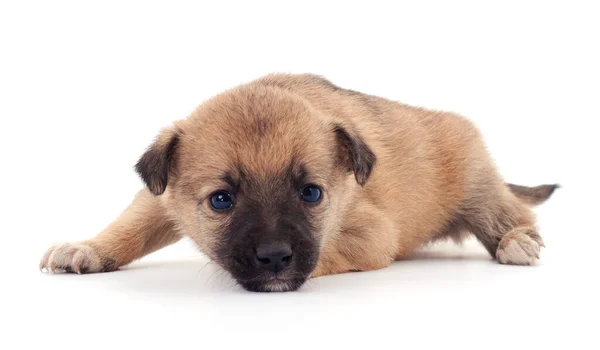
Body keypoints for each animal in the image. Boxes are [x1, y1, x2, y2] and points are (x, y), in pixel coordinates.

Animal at [39, 74, 560, 292]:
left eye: (311, 193)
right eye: (221, 200)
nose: (273, 258)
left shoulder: (372, 235)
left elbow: (326, 252)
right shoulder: (162, 198)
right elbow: (130, 225)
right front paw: (89, 249)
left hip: (478, 185)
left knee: (510, 211)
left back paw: (517, 240)